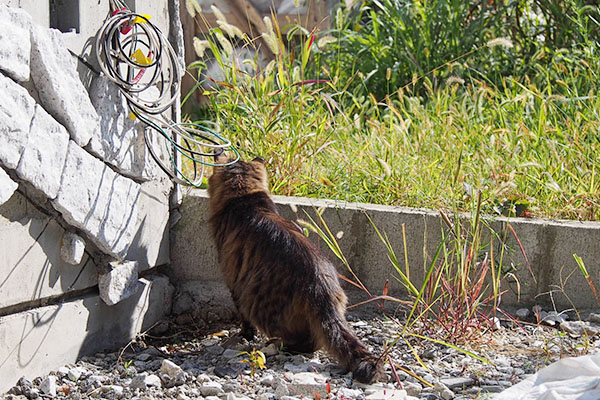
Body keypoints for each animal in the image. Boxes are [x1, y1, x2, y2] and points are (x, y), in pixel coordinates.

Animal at [207, 154, 384, 384]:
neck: (245, 198)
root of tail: (321, 287)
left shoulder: (233, 280)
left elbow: (243, 320)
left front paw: (245, 335)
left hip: (257, 303)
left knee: (309, 342)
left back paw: (279, 344)